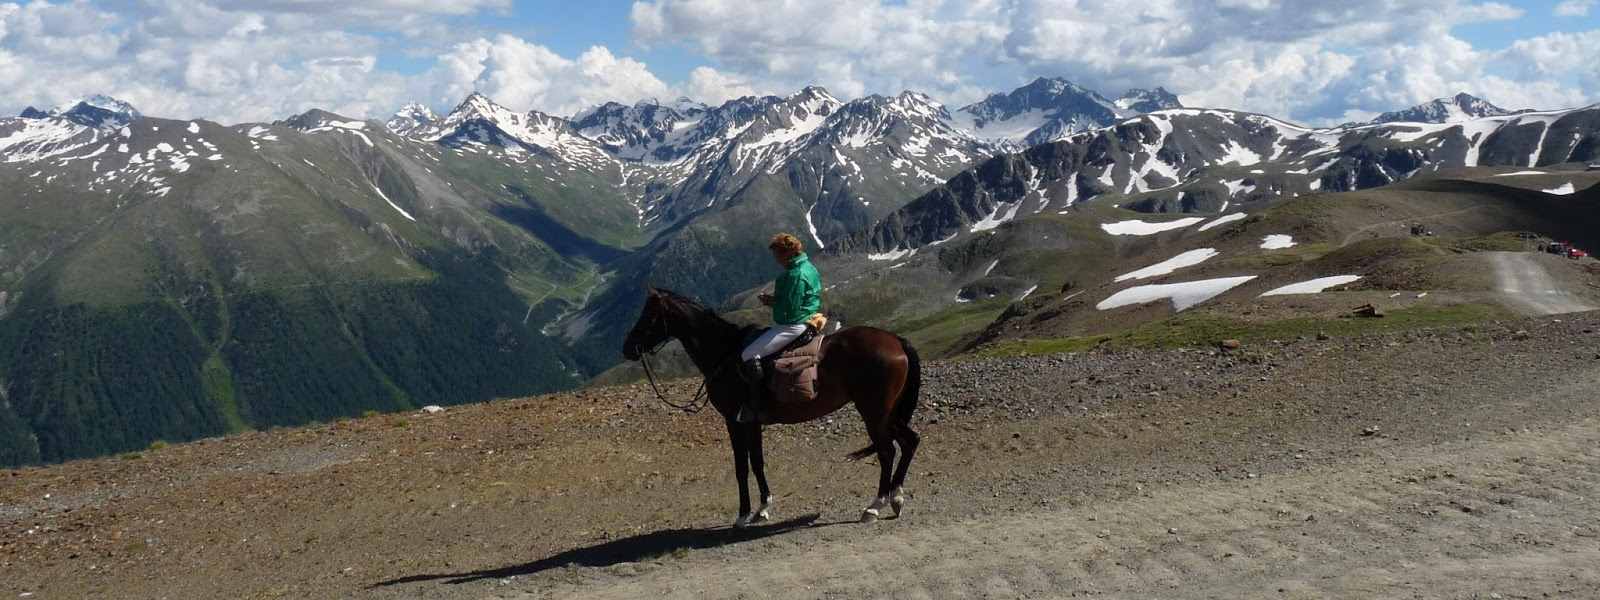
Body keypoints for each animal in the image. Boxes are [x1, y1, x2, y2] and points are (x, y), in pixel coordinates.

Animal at [624, 289, 928, 528]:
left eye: (649, 316)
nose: (627, 348)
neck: (724, 354)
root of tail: (896, 340)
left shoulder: (734, 421)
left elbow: (741, 466)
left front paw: (743, 514)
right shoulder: (752, 422)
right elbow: (757, 462)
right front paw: (763, 508)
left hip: (874, 412)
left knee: (887, 451)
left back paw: (875, 505)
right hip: (888, 412)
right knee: (910, 441)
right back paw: (897, 497)